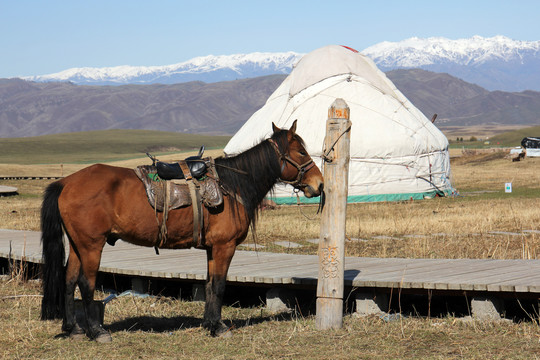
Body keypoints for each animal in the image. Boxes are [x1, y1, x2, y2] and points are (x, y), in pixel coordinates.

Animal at [41, 121, 324, 340]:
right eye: (300, 151)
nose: (319, 184)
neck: (233, 186)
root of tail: (66, 182)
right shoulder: (224, 246)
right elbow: (220, 285)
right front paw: (219, 328)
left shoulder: (212, 248)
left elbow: (209, 284)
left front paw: (210, 324)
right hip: (91, 245)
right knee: (86, 283)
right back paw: (97, 331)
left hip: (77, 245)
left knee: (68, 281)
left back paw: (73, 329)